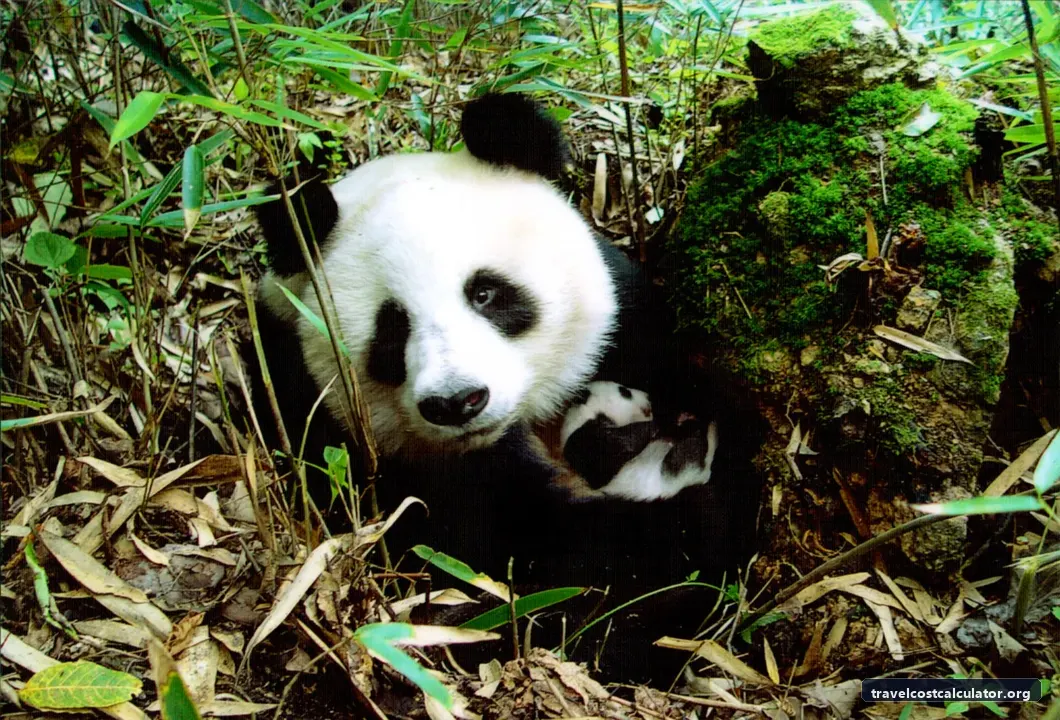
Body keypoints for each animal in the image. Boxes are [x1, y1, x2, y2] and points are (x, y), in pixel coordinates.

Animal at [561, 381, 720, 501]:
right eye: (625, 391)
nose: (647, 396)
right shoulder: (583, 441)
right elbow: (623, 441)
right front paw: (664, 424)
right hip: (673, 470)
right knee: (691, 447)